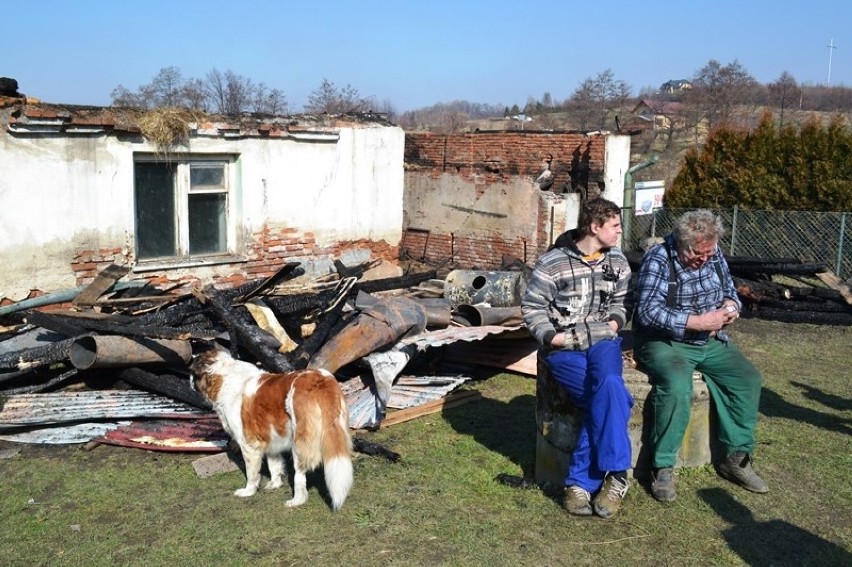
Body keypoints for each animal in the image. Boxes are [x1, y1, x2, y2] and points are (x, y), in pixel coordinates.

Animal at [190, 348, 352, 512]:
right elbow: (274, 464)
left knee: (299, 474)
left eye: (192, 372)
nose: (189, 381)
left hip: (300, 441)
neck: (223, 379)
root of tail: (318, 379)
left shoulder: (248, 445)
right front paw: (275, 484)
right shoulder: (270, 437)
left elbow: (251, 473)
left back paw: (297, 500)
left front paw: (248, 491)